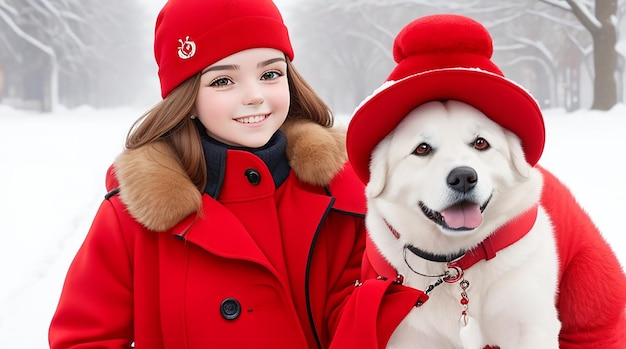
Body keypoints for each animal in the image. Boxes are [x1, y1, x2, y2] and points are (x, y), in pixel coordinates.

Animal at [364, 99, 560, 346]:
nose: (464, 177)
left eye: (480, 143)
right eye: (422, 148)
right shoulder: (412, 336)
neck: (457, 261)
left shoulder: (530, 325)